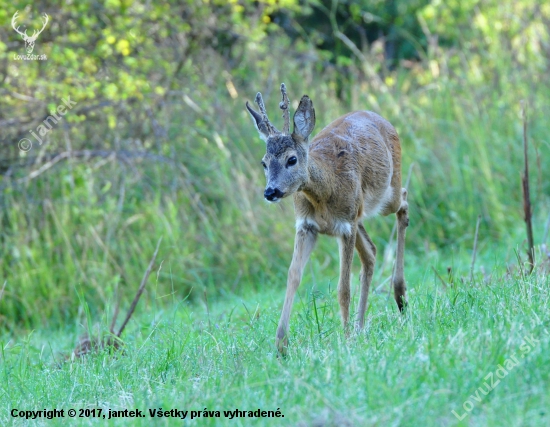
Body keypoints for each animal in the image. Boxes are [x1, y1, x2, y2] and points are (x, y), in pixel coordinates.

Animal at [247, 83, 410, 354]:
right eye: (264, 163)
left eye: (291, 159)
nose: (270, 192)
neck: (323, 193)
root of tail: (383, 119)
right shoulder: (306, 226)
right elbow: (293, 276)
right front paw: (280, 344)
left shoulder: (345, 227)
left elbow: (343, 288)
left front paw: (345, 339)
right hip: (358, 214)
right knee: (371, 252)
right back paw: (361, 326)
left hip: (386, 195)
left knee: (404, 202)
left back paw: (399, 297)